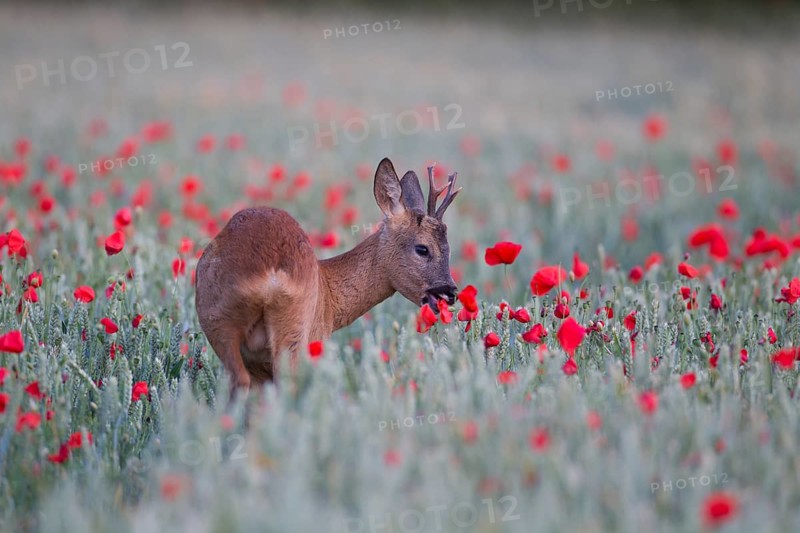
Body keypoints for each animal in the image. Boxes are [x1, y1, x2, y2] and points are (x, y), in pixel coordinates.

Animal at [195, 157, 461, 390]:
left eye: (449, 248)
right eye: (422, 249)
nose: (450, 292)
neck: (331, 298)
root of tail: (268, 271)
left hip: (218, 319)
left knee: (239, 380)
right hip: (294, 327)